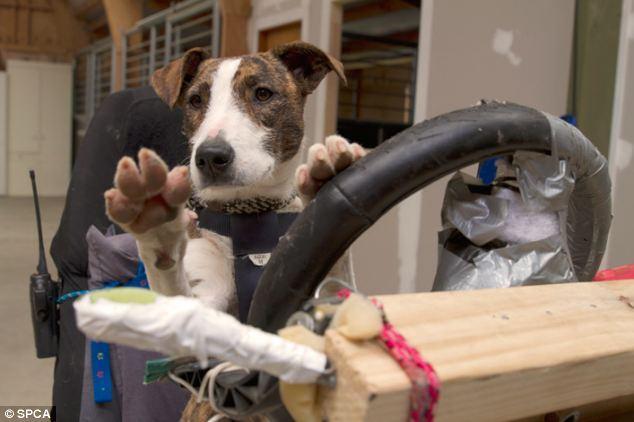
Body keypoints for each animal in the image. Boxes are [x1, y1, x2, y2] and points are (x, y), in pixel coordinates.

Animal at [102, 40, 362, 418]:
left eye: (263, 94)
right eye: (196, 100)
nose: (211, 156)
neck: (248, 217)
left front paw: (324, 176)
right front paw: (158, 224)